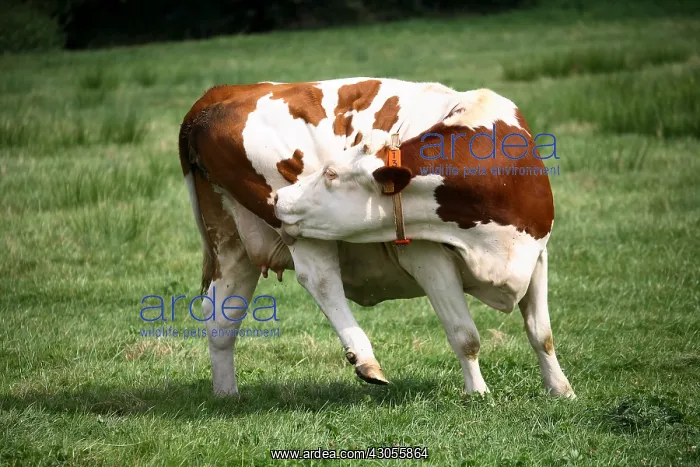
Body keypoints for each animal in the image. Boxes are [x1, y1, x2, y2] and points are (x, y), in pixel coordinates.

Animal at [178, 77, 575, 398]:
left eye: (331, 174)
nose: (280, 200)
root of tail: (218, 95)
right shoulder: (426, 257)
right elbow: (465, 335)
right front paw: (478, 393)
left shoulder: (537, 253)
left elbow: (542, 334)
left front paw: (561, 390)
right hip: (298, 233)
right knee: (320, 280)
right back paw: (365, 359)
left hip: (233, 243)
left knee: (222, 316)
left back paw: (227, 394)